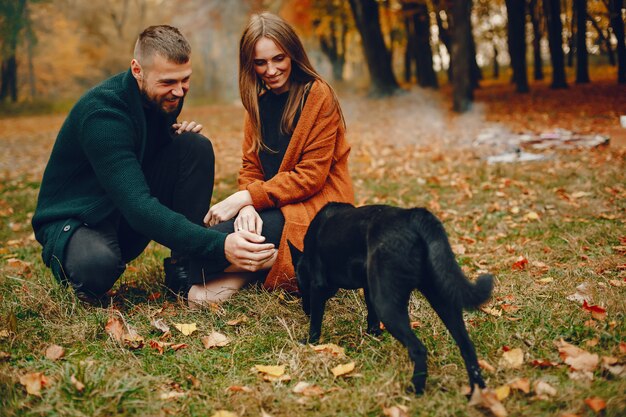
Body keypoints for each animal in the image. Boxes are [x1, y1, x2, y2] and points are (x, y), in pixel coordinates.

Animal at [288, 203, 492, 394]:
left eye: (300, 284)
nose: (304, 310)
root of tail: (413, 215)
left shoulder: (317, 285)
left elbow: (315, 323)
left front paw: (310, 344)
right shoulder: (369, 286)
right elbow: (371, 317)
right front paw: (373, 336)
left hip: (387, 305)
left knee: (418, 349)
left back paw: (415, 390)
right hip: (441, 297)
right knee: (467, 347)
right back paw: (477, 393)